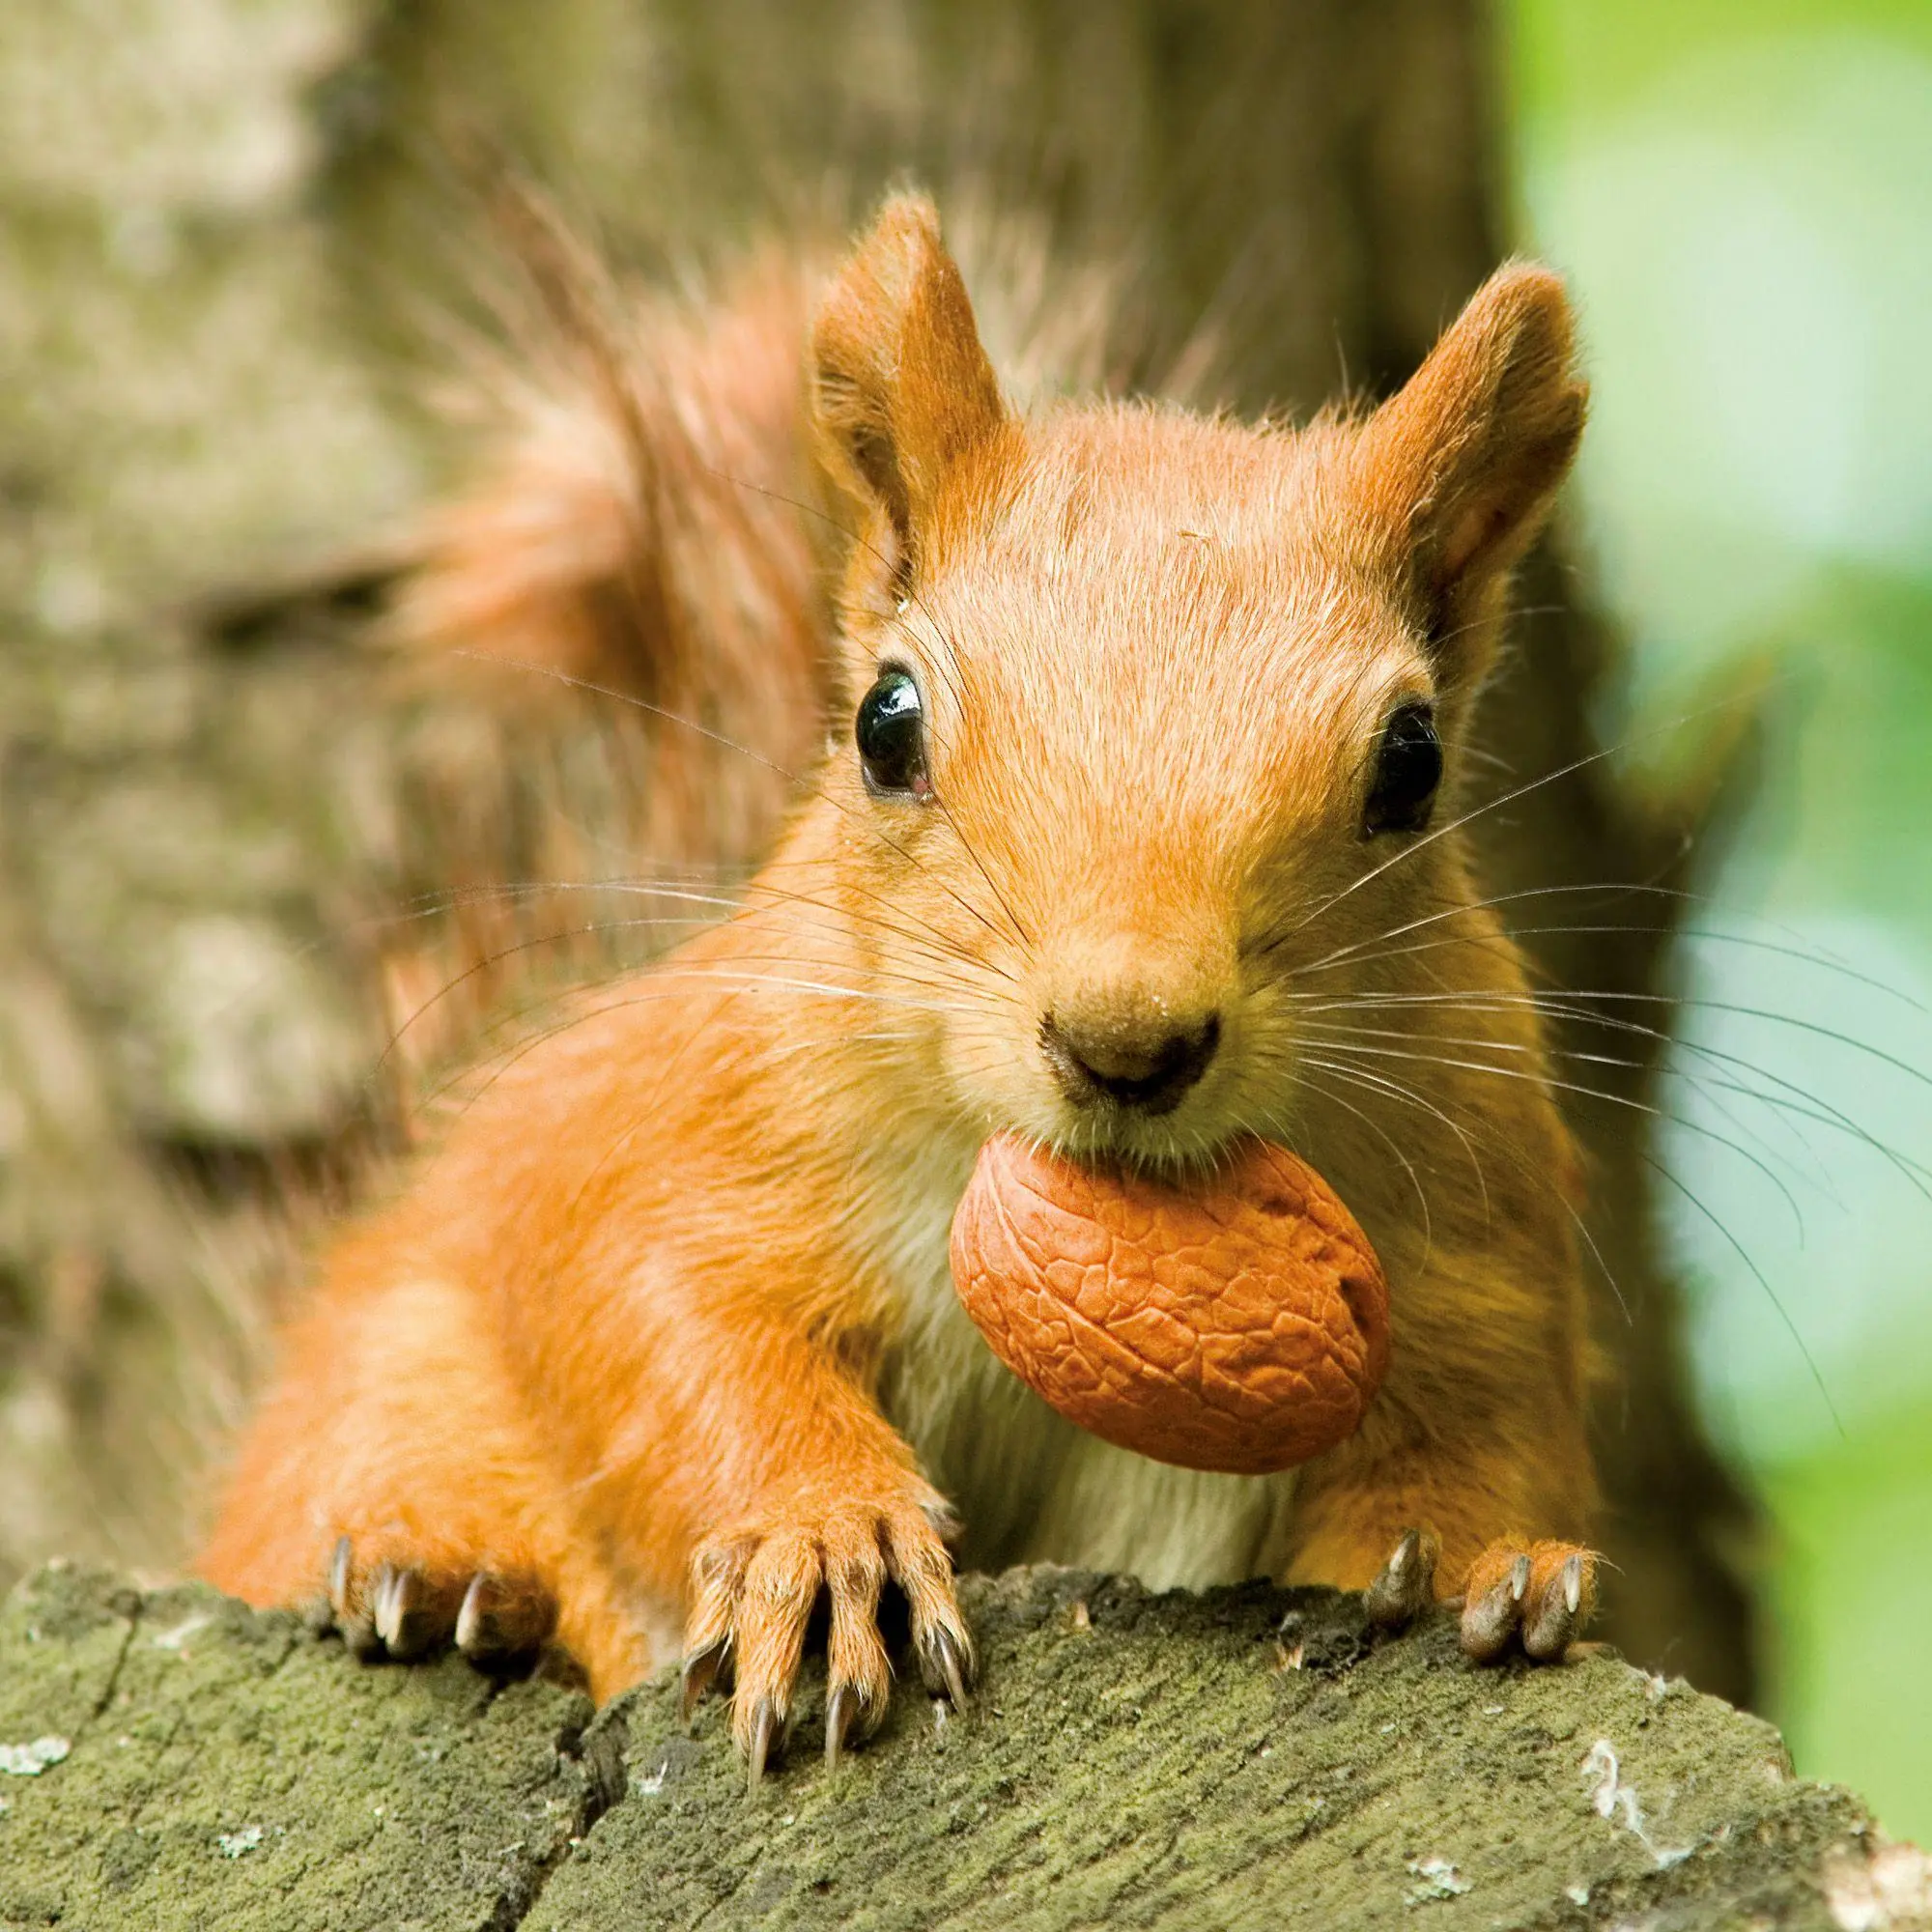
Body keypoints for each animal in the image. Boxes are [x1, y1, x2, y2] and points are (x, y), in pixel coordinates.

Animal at [200, 194, 1599, 1779]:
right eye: (885, 722)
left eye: (1411, 760)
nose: (1126, 1043)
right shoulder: (682, 1129)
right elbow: (673, 1320)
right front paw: (823, 1538)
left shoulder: (1474, 1236)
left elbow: (1471, 1443)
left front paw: (1480, 1571)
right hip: (388, 1373)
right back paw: (444, 1584)